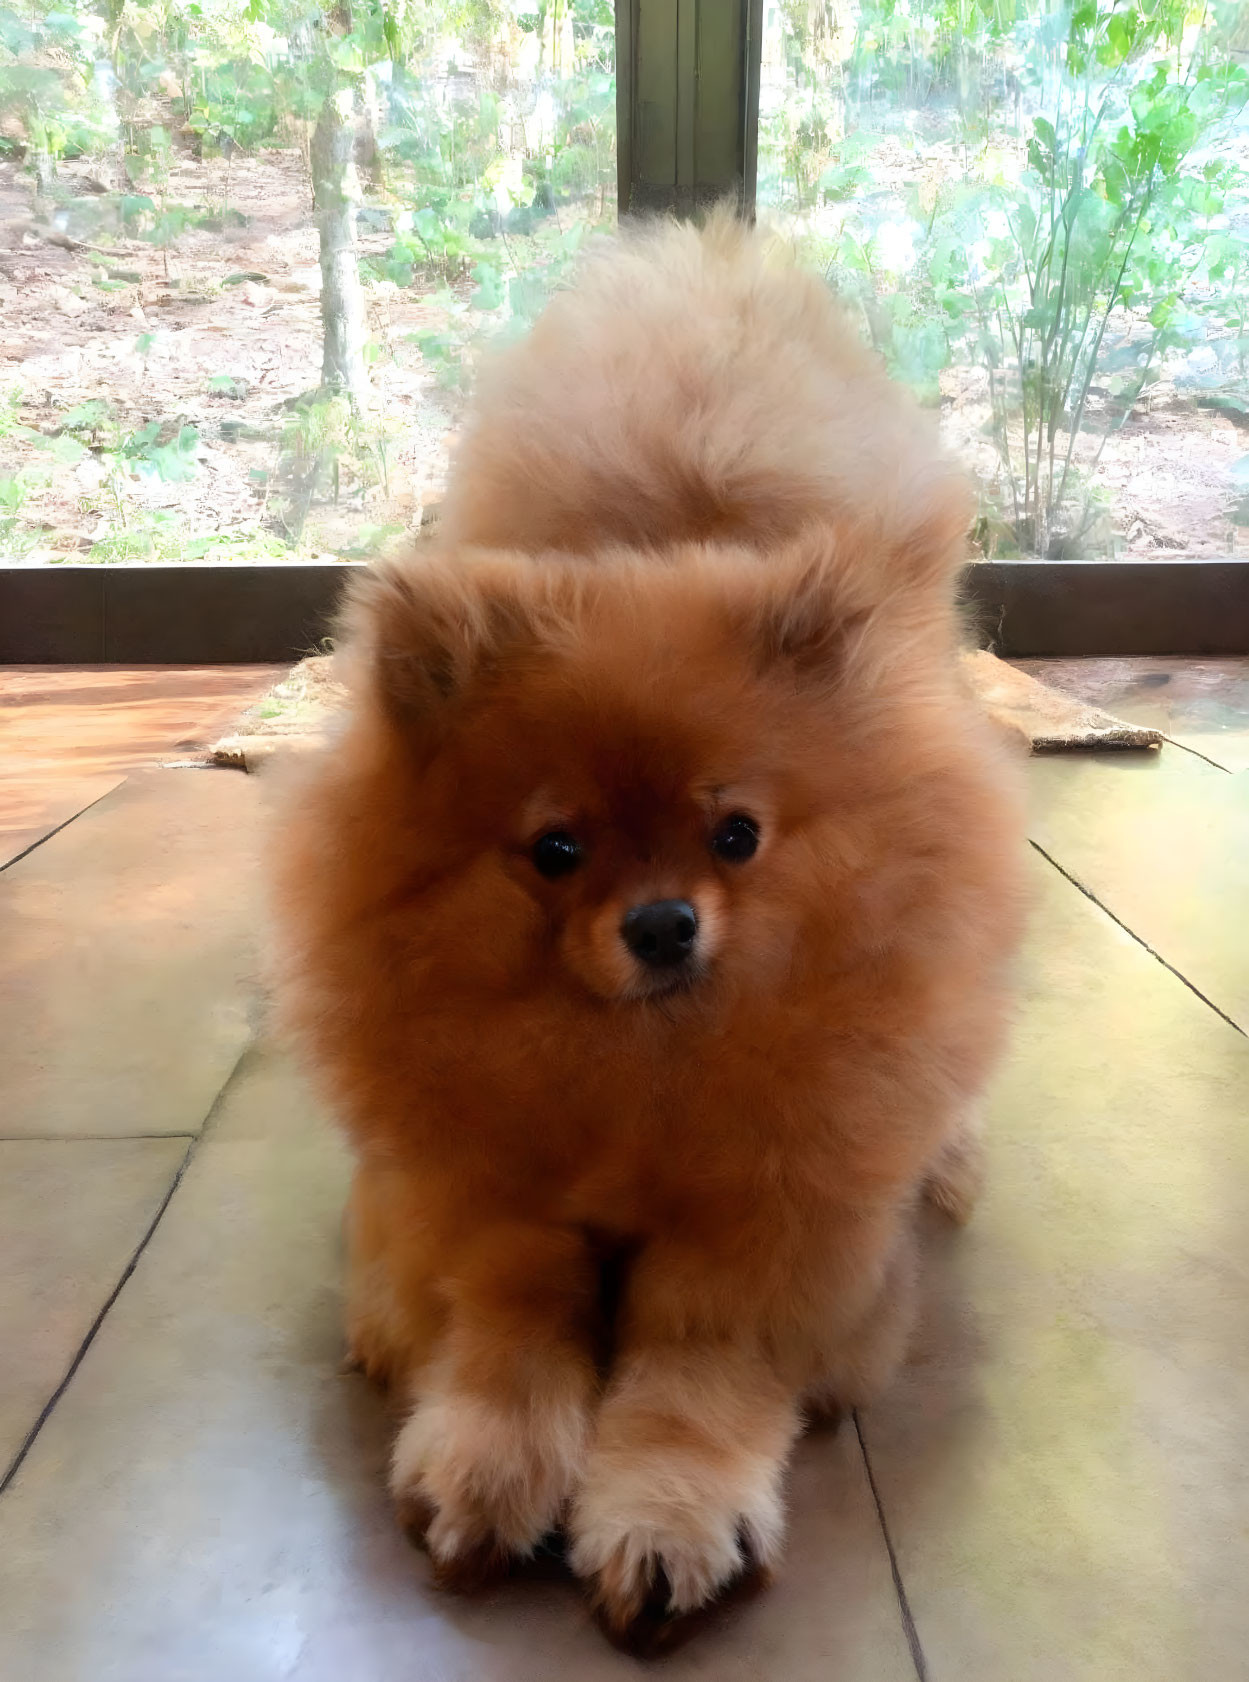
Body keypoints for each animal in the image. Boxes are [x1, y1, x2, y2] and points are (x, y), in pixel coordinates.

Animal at [275, 213, 1028, 1655]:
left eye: (735, 835)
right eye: (556, 850)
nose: (665, 922)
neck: (642, 1068)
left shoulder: (776, 1217)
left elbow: (696, 1368)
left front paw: (670, 1518)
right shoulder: (477, 1190)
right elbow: (512, 1320)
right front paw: (489, 1466)